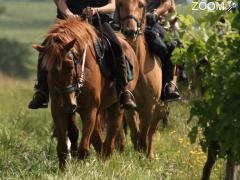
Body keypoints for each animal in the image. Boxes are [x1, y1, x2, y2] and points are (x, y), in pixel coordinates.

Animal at [118, 0, 165, 159]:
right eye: (120, 4)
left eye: (141, 5)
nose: (130, 31)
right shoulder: (129, 107)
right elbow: (135, 133)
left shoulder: (150, 106)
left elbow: (145, 135)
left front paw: (143, 156)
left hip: (160, 108)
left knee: (151, 132)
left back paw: (150, 156)